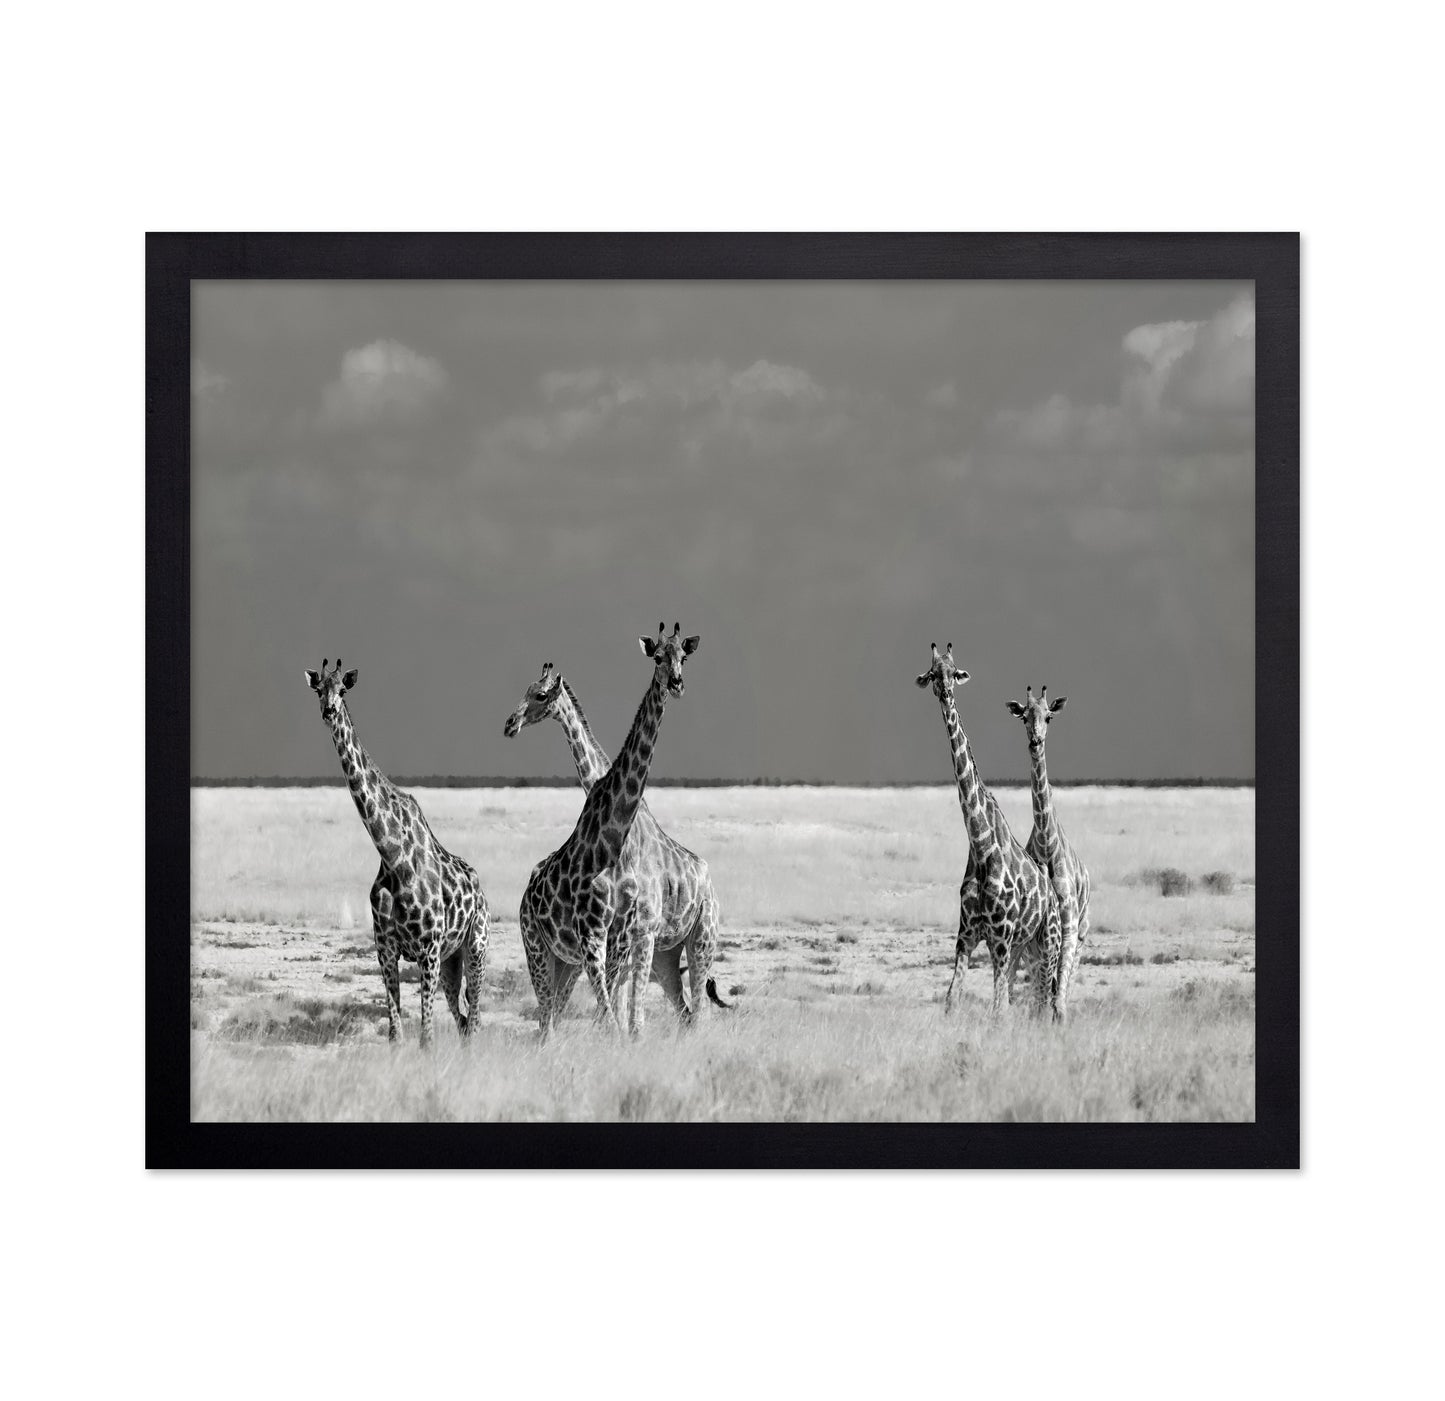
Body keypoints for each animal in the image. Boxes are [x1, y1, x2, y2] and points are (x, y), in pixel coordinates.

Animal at [304, 658, 490, 1046]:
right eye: (318, 690)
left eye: (342, 690)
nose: (329, 711)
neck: (393, 857)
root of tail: (480, 889)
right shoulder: (386, 951)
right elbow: (395, 1033)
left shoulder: (428, 951)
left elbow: (426, 1037)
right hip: (452, 962)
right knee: (464, 1019)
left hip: (475, 947)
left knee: (476, 1018)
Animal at [504, 661, 727, 1023]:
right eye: (527, 690)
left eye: (540, 694)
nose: (511, 724)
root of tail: (708, 878)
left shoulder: (638, 932)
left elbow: (626, 1013)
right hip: (663, 954)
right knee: (682, 1010)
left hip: (700, 934)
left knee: (695, 1008)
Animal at [915, 643, 1062, 1020]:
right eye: (932, 673)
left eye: (955, 672)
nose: (946, 691)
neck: (982, 848)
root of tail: (1054, 896)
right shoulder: (966, 936)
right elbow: (952, 999)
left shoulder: (999, 938)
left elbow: (998, 1011)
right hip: (1023, 945)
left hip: (1048, 941)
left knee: (1048, 999)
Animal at [1007, 684, 1091, 1020]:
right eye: (1023, 717)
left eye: (1049, 717)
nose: (1035, 741)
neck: (1047, 843)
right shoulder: (1035, 937)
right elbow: (1043, 995)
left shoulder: (1068, 929)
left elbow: (1059, 999)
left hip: (1081, 936)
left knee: (1061, 989)